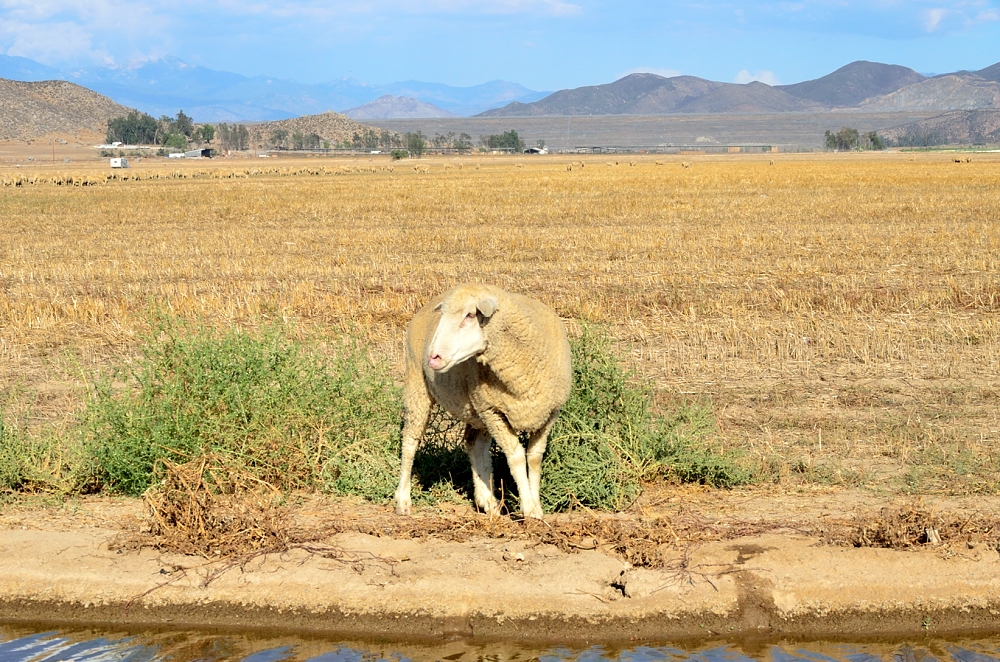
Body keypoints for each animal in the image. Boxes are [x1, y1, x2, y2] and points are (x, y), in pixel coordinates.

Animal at [395, 284, 572, 520]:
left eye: (470, 315)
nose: (433, 358)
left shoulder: (548, 413)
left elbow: (534, 457)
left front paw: (536, 506)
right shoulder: (493, 411)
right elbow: (516, 456)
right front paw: (528, 507)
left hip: (477, 410)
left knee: (474, 443)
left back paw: (487, 501)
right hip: (418, 386)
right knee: (410, 442)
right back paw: (403, 500)